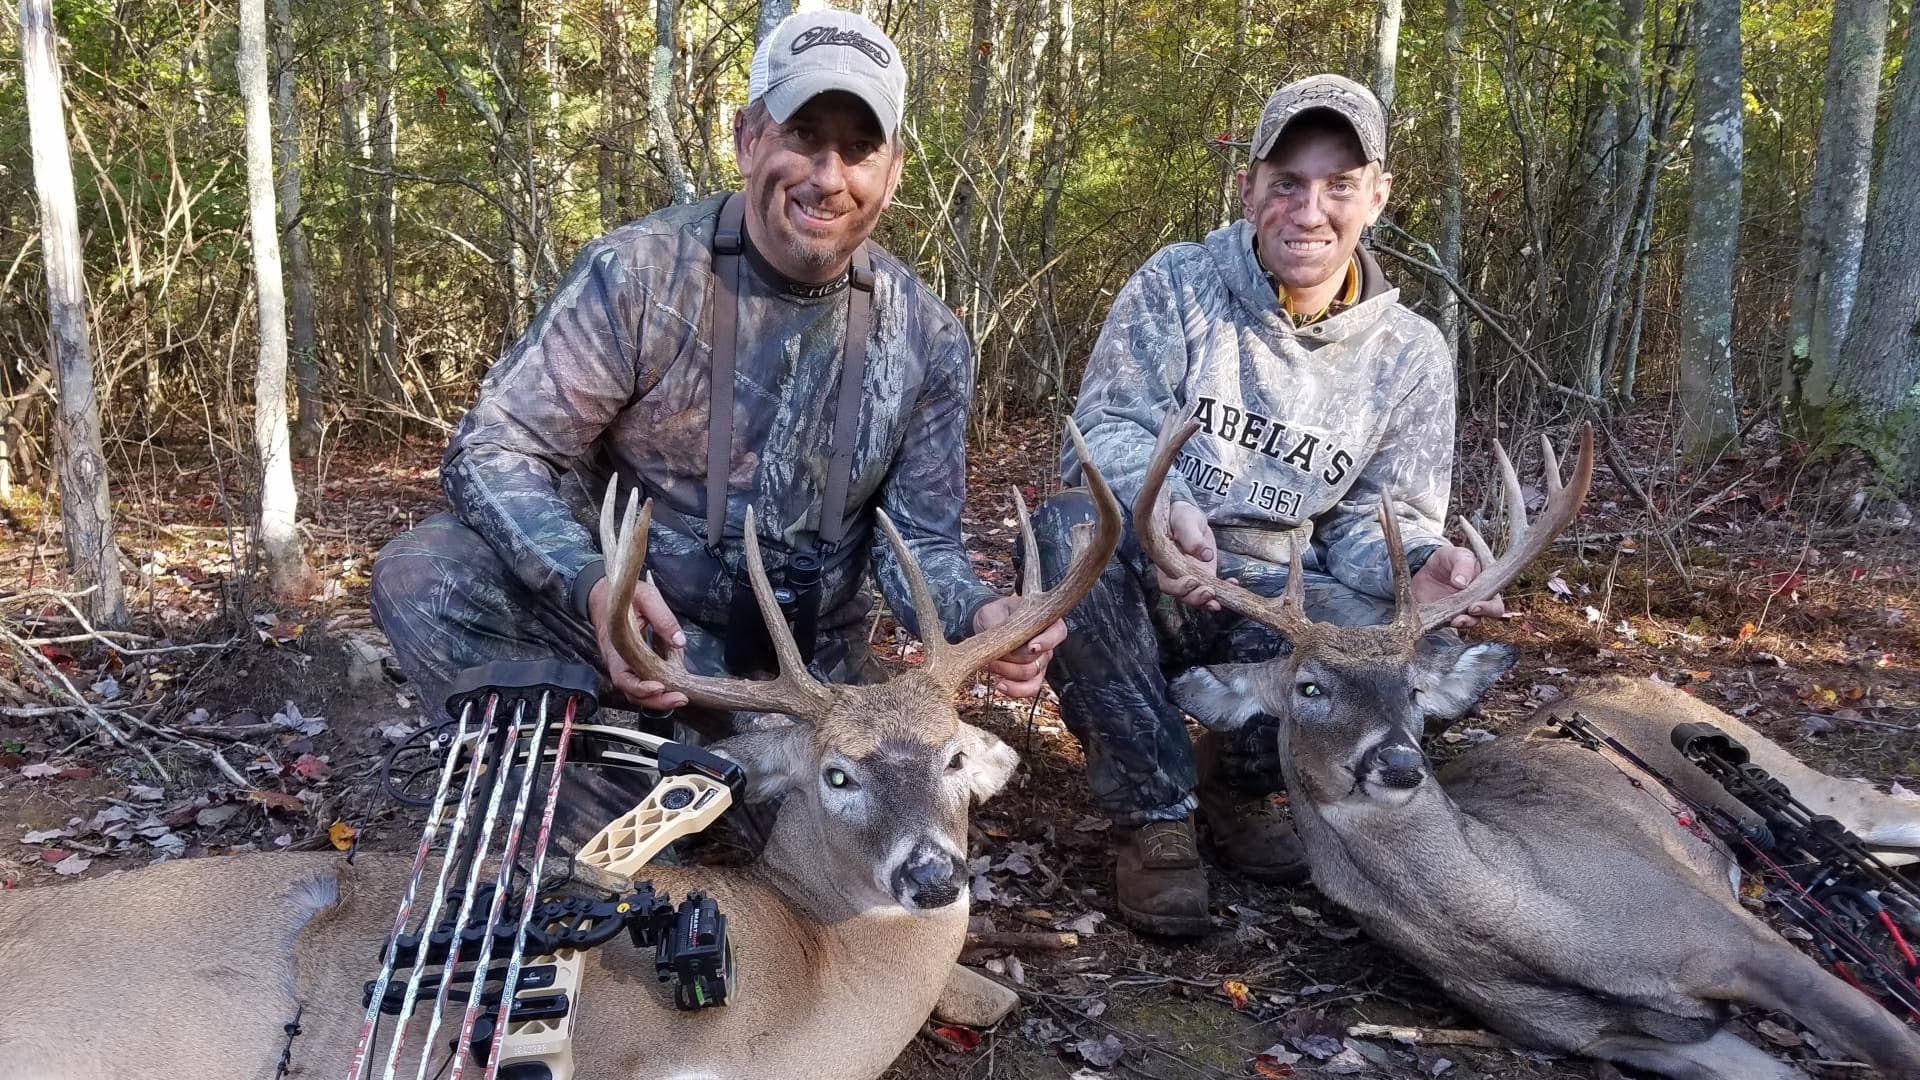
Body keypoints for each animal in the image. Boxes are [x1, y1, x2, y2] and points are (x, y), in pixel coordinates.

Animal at [1134, 416, 1920, 1080]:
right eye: (1309, 688)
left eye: (1413, 690)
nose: (1399, 763)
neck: (1539, 926)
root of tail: (1636, 675)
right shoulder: (1625, 1039)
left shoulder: (1731, 932)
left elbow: (1892, 1044)